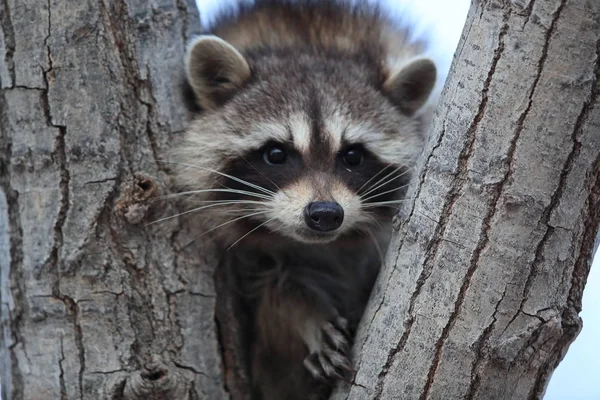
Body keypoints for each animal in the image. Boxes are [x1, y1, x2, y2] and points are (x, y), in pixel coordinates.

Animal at [171, 1, 438, 398]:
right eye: (276, 154)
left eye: (353, 156)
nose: (325, 214)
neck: (309, 43)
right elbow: (274, 290)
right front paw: (306, 315)